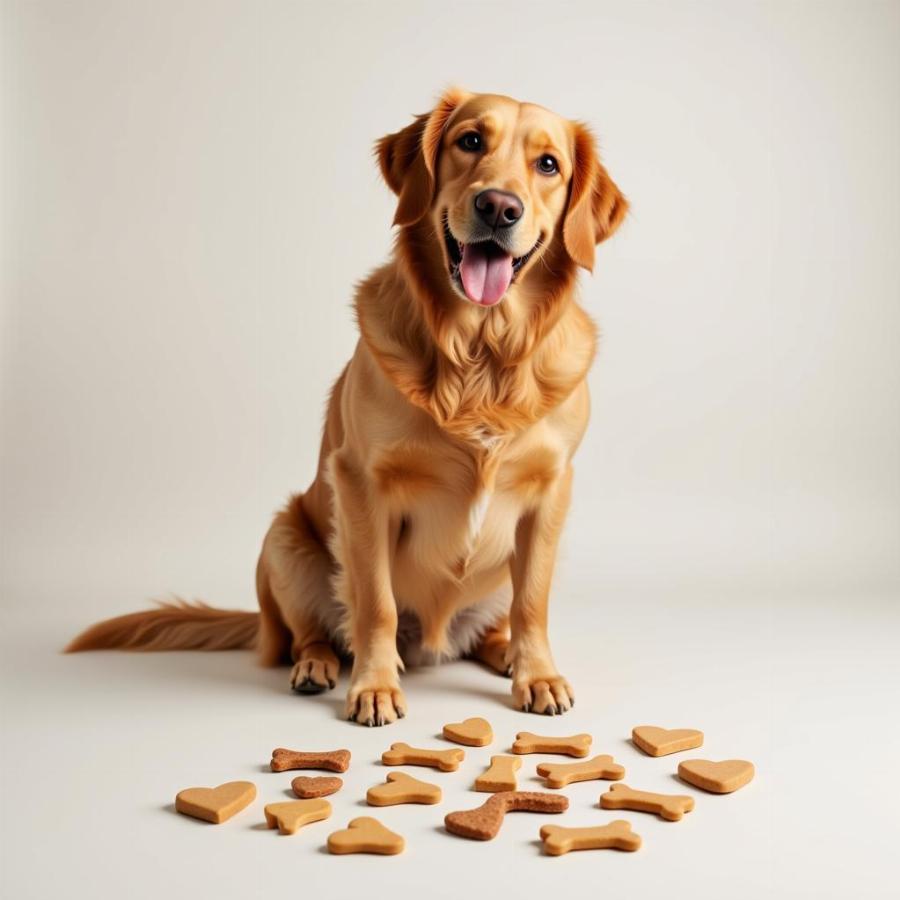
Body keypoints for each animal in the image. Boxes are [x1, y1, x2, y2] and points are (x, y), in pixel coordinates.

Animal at [67, 89, 628, 724]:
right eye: (470, 141)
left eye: (548, 164)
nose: (498, 207)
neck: (479, 355)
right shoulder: (361, 482)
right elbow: (375, 601)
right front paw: (375, 686)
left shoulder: (551, 489)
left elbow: (533, 601)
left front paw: (538, 675)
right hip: (285, 538)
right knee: (309, 634)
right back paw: (317, 668)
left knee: (494, 623)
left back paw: (504, 653)